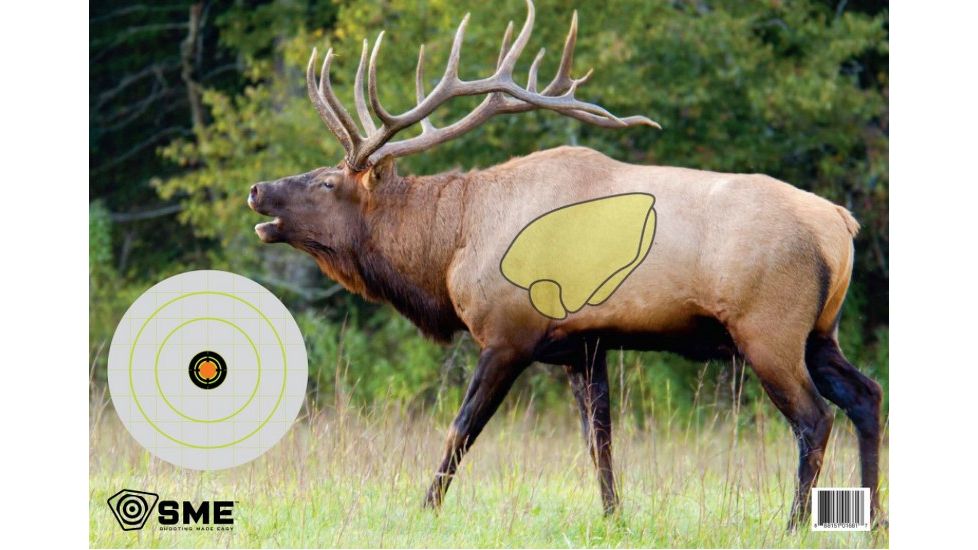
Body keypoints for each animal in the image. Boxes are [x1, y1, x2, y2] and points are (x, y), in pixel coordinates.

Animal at [247, 0, 883, 529]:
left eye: (327, 182)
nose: (258, 190)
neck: (451, 247)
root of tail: (841, 226)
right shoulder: (585, 345)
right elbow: (600, 441)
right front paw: (614, 517)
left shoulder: (508, 333)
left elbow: (460, 430)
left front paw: (422, 509)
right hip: (819, 332)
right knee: (867, 396)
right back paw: (873, 521)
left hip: (768, 329)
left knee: (815, 418)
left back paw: (794, 524)